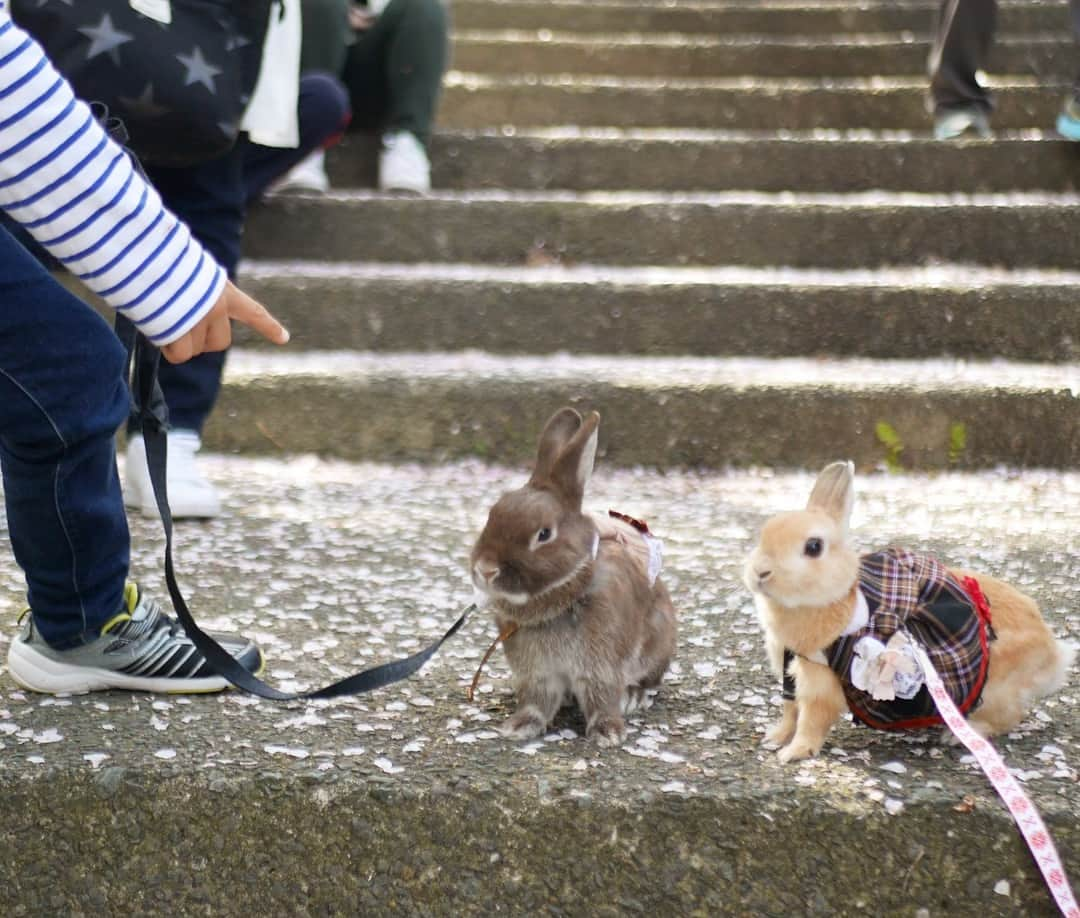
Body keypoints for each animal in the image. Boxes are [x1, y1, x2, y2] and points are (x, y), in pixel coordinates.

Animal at [470, 406, 673, 743]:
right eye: (492, 515)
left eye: (544, 534)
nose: (485, 570)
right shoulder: (536, 672)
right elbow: (536, 700)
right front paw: (520, 726)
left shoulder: (601, 665)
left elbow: (602, 696)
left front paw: (608, 733)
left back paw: (633, 697)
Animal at [743, 462, 1071, 760]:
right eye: (765, 532)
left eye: (813, 547)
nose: (759, 572)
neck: (837, 597)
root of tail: (1054, 655)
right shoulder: (791, 673)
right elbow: (790, 712)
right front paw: (774, 738)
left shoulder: (819, 679)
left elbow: (811, 721)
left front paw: (792, 754)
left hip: (993, 692)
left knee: (1008, 717)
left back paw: (959, 736)